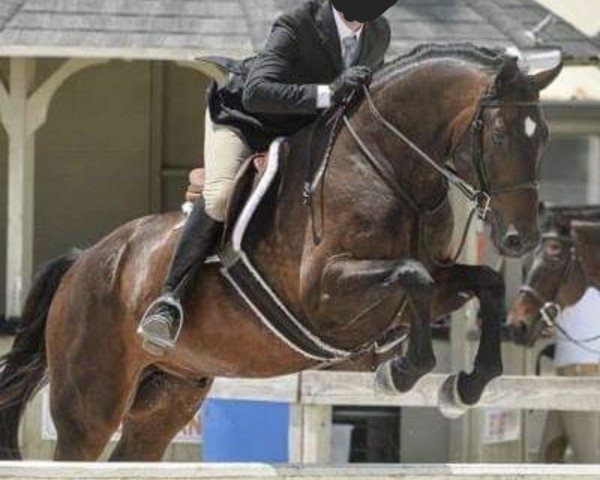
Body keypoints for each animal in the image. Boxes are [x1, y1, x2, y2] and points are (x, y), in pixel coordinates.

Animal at [1, 46, 564, 462]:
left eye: (544, 137)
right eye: (498, 135)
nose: (520, 238)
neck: (388, 170)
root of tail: (84, 262)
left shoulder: (431, 283)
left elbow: (482, 283)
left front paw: (465, 385)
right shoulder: (324, 294)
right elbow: (412, 277)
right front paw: (401, 371)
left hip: (166, 396)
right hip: (89, 405)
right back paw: (161, 316)